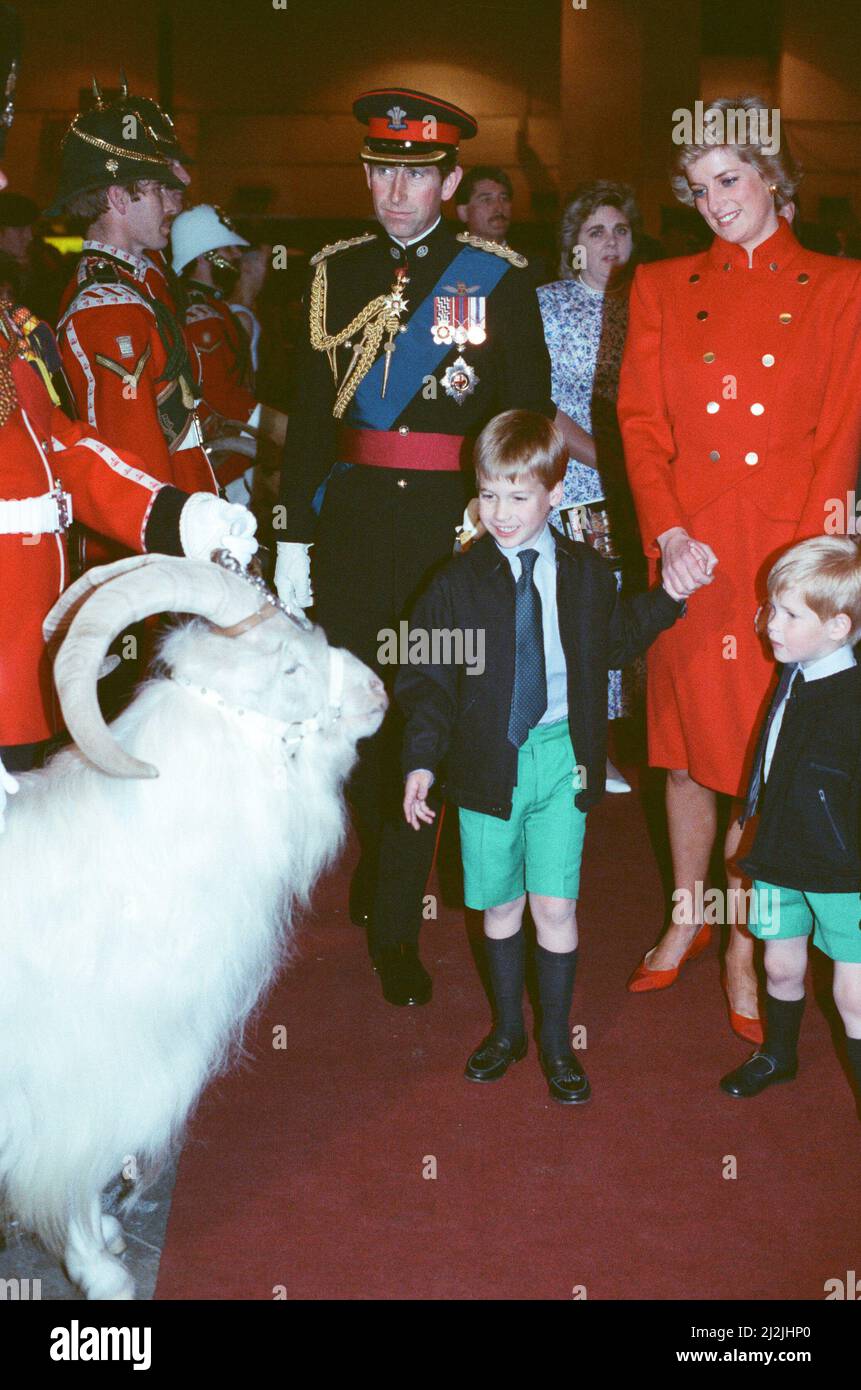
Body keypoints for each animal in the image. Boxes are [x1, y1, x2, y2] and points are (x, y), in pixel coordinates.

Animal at [0, 556, 383, 1301]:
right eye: (289, 668)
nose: (378, 691)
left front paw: (108, 1239)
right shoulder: (76, 1085)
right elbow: (72, 1179)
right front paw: (102, 1272)